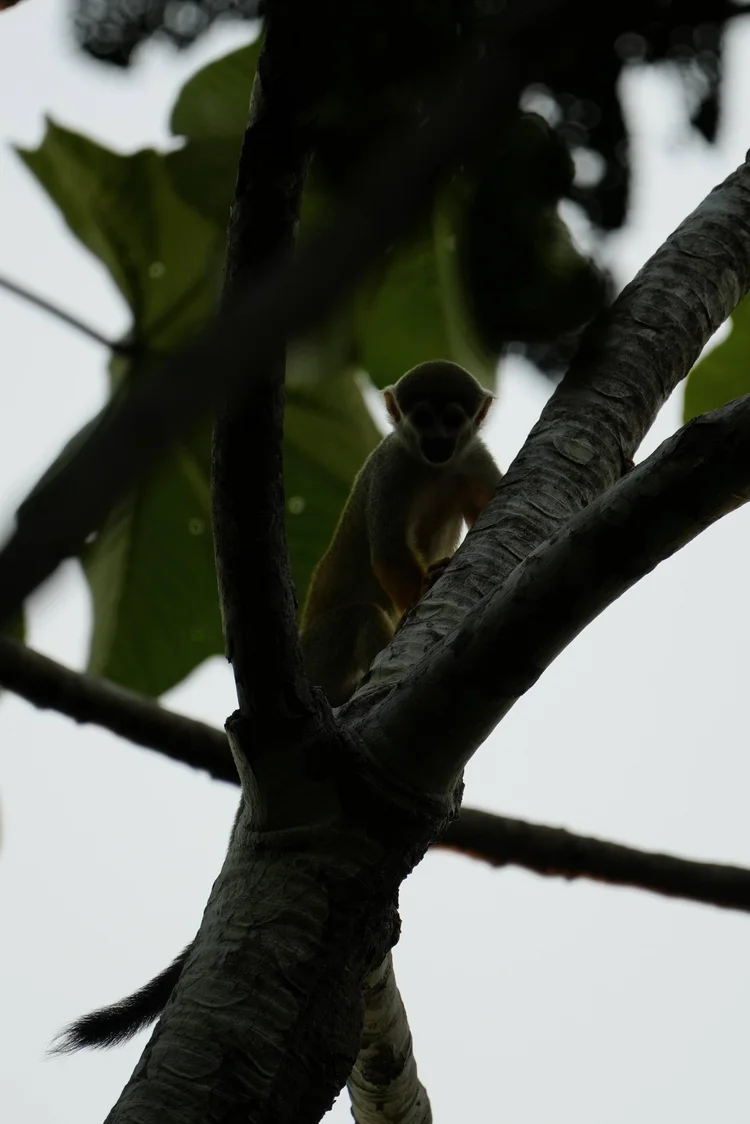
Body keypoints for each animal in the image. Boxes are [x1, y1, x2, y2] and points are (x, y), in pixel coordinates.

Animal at [51, 360, 502, 1054]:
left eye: (453, 417)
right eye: (422, 416)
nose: (435, 438)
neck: (434, 466)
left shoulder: (472, 458)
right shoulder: (393, 468)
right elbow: (385, 554)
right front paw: (425, 584)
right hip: (327, 652)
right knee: (364, 612)